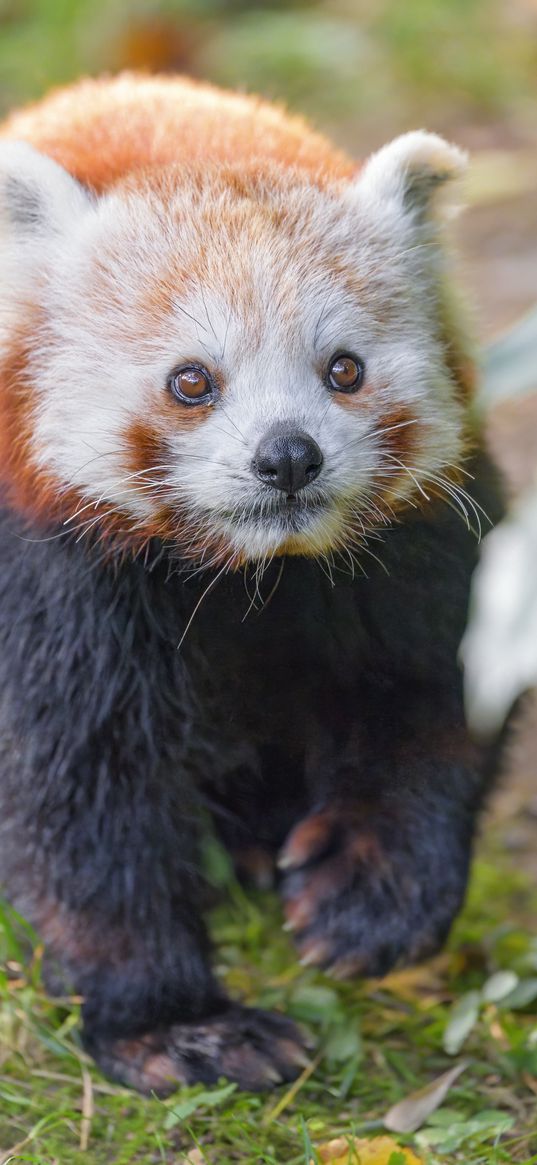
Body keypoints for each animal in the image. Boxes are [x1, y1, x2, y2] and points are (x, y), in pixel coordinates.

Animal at [0, 72, 503, 1090]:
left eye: (344, 368)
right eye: (191, 381)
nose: (288, 456)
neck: (247, 580)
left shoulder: (425, 540)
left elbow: (432, 695)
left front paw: (370, 890)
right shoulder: (51, 572)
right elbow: (71, 791)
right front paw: (174, 1023)